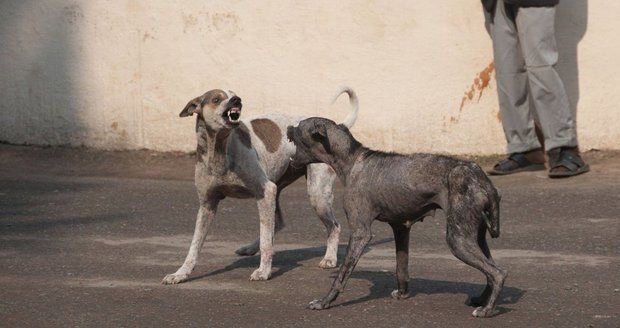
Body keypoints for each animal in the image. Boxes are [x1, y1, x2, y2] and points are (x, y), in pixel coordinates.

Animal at [162, 88, 358, 284]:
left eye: (233, 93)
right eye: (216, 99)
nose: (237, 99)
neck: (220, 150)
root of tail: (335, 127)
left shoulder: (266, 191)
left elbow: (266, 242)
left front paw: (263, 271)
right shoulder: (207, 205)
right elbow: (194, 246)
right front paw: (181, 273)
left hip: (316, 196)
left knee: (334, 226)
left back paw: (329, 258)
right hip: (278, 191)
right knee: (276, 224)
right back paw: (250, 248)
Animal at [288, 118, 506, 318]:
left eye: (300, 125)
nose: (288, 127)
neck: (352, 160)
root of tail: (482, 179)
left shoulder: (360, 233)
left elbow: (342, 275)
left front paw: (325, 302)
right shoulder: (401, 228)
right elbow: (401, 268)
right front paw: (402, 294)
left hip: (457, 240)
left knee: (498, 273)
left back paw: (487, 309)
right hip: (475, 237)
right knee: (490, 271)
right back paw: (482, 299)